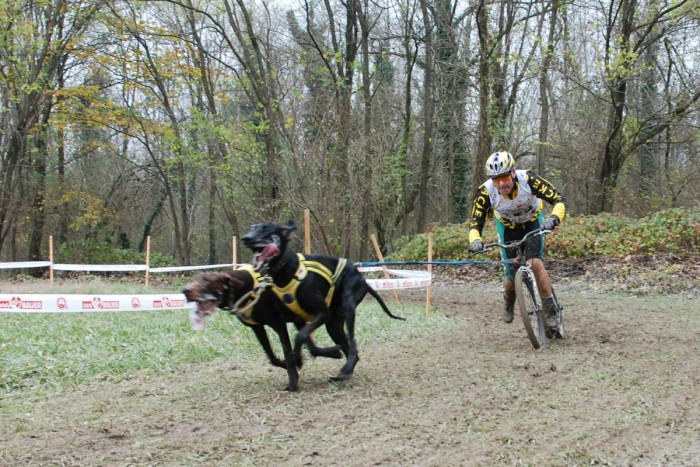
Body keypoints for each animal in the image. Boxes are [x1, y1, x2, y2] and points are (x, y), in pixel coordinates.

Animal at [183, 266, 342, 394]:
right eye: (193, 279)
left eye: (207, 280)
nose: (185, 291)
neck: (245, 289)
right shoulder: (257, 327)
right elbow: (272, 357)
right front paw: (288, 364)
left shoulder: (279, 325)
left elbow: (287, 352)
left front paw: (293, 384)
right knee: (310, 343)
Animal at [241, 221, 404, 386]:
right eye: (252, 228)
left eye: (267, 229)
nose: (246, 238)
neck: (288, 271)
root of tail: (363, 279)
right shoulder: (297, 319)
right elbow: (308, 343)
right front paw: (319, 355)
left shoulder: (323, 314)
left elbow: (300, 336)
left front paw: (298, 357)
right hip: (333, 325)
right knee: (347, 346)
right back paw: (344, 372)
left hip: (347, 307)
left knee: (353, 345)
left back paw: (346, 369)